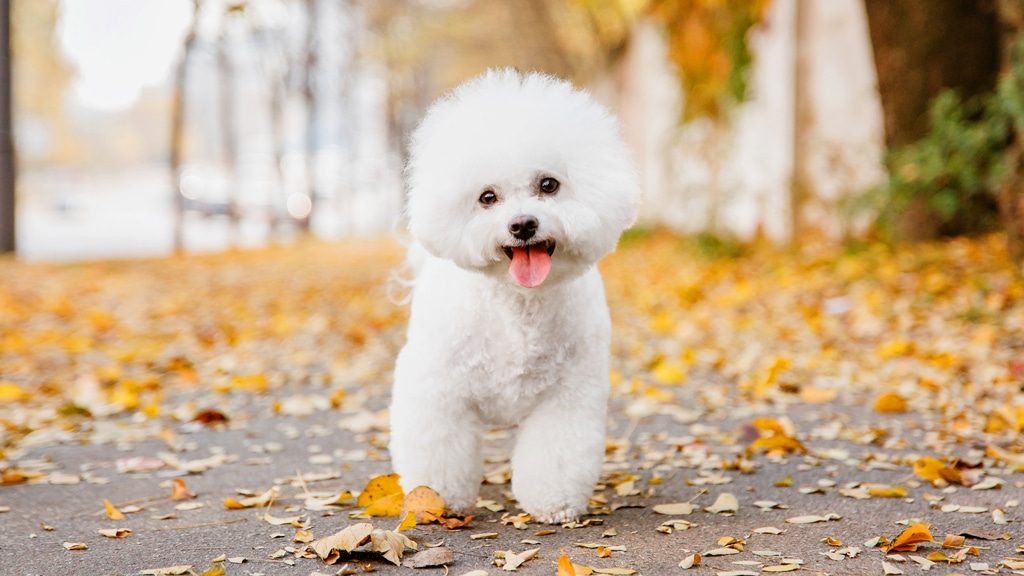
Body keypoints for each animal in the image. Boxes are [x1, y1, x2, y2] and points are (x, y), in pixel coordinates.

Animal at [387, 69, 634, 522]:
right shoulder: (437, 389)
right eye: (487, 197)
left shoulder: (568, 395)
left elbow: (557, 453)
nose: (522, 224)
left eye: (549, 185)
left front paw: (553, 502)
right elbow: (438, 449)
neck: (519, 305)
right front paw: (437, 499)